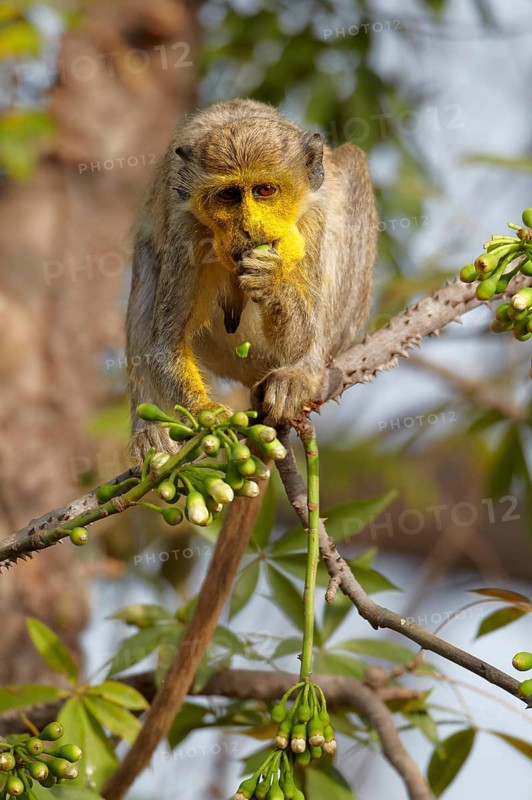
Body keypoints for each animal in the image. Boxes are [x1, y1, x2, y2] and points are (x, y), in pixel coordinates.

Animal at [126, 99, 378, 463]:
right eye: (228, 195)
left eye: (265, 190)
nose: (248, 227)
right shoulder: (184, 225)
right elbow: (166, 344)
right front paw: (207, 414)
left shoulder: (312, 216)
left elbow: (305, 335)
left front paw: (273, 284)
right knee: (146, 267)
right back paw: (148, 432)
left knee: (354, 163)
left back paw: (302, 373)